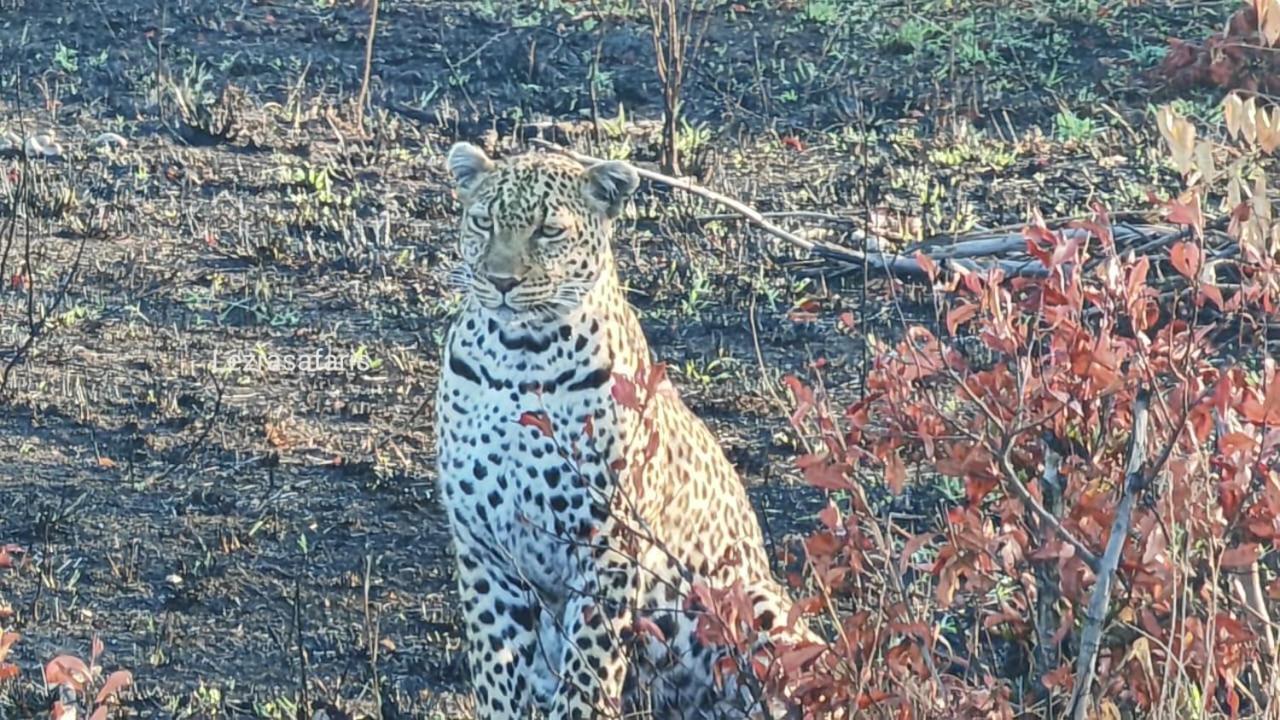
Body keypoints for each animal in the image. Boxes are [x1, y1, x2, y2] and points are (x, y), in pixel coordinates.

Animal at [435, 141, 803, 717]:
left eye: (548, 230)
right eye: (482, 221)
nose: (500, 281)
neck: (518, 357)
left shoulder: (606, 544)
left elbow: (588, 670)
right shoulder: (482, 546)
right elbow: (496, 666)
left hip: (755, 603)